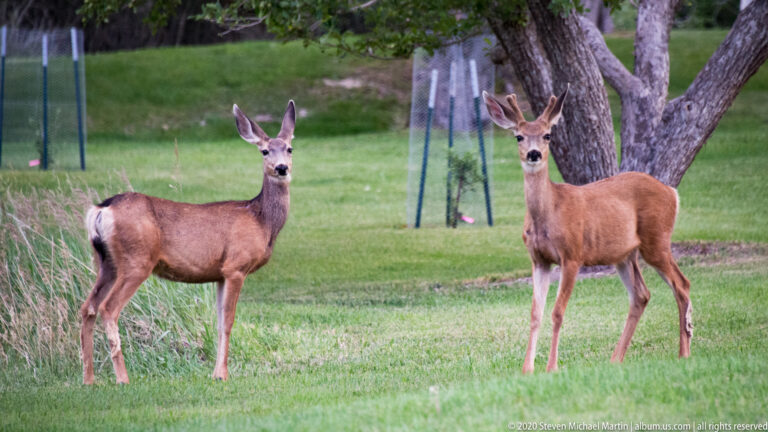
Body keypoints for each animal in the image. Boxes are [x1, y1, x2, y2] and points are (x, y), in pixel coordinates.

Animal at [80, 100, 296, 384]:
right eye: (265, 151)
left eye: (290, 148)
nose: (282, 167)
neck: (261, 220)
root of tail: (102, 209)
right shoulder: (236, 266)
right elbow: (229, 322)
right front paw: (222, 375)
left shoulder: (219, 273)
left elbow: (219, 323)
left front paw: (215, 373)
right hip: (136, 260)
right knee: (108, 308)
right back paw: (122, 378)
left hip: (106, 262)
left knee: (88, 307)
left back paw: (88, 380)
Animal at [482, 85, 692, 374]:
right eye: (518, 136)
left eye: (547, 135)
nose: (534, 153)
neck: (549, 213)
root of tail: (672, 192)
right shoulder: (539, 260)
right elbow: (535, 313)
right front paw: (527, 369)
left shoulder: (573, 254)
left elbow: (557, 311)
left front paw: (551, 367)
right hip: (625, 255)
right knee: (641, 295)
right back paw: (616, 359)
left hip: (656, 239)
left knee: (682, 284)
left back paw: (684, 352)